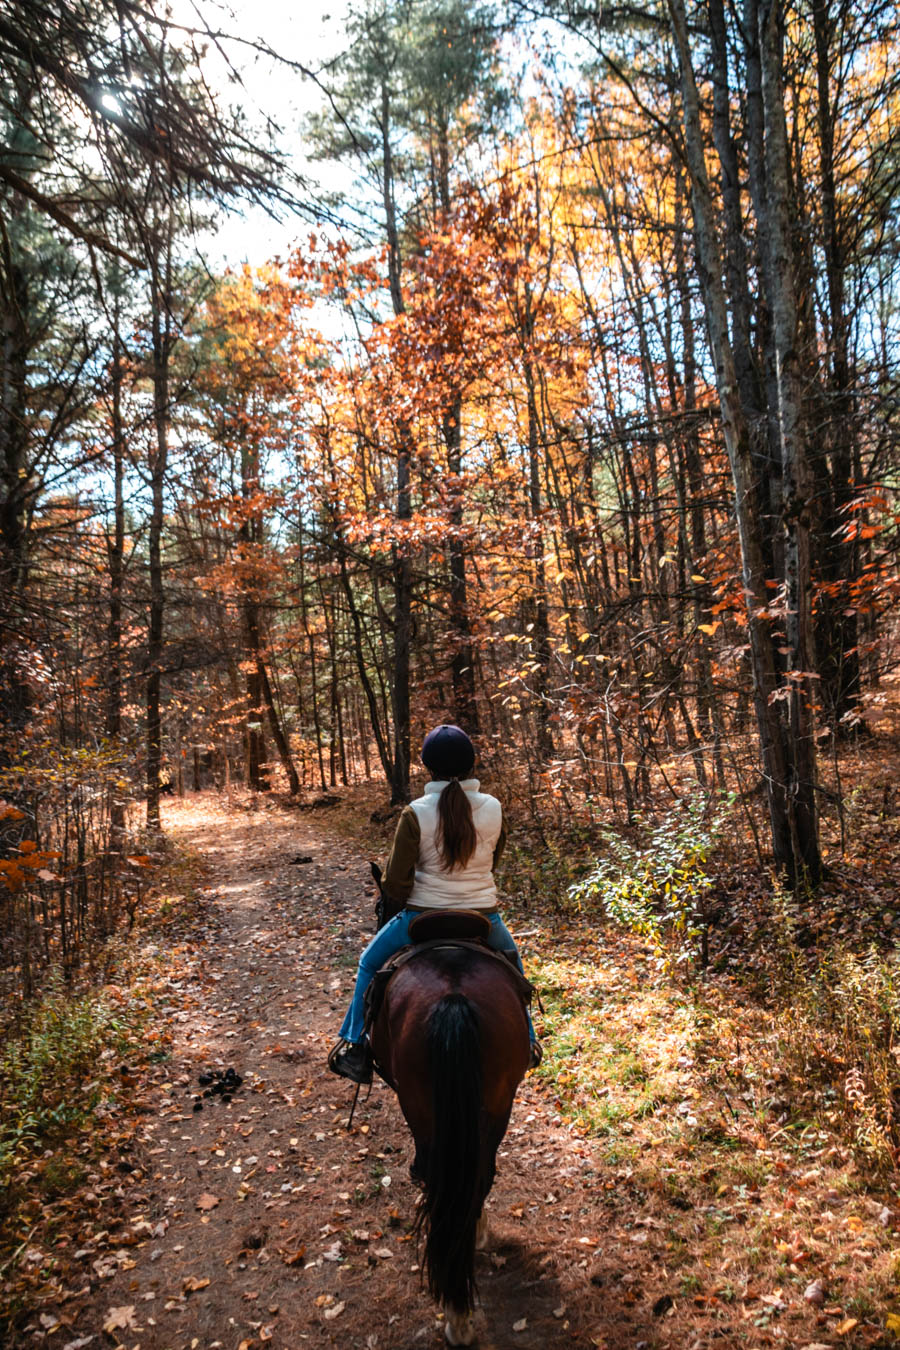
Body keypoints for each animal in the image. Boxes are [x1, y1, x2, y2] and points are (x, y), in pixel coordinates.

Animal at [369, 912, 531, 1344]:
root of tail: (453, 997)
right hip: (499, 1100)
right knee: (479, 1175)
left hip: (420, 1105)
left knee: (435, 1172)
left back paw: (456, 1316)